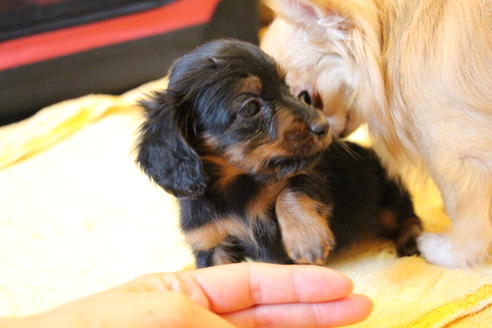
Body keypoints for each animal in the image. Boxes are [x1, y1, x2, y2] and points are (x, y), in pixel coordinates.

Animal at [136, 39, 420, 268]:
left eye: (287, 87)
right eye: (250, 107)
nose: (324, 127)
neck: (237, 187)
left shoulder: (310, 176)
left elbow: (290, 190)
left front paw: (306, 237)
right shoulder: (212, 243)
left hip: (388, 194)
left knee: (407, 217)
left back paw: (411, 243)